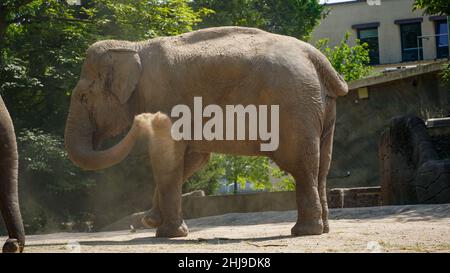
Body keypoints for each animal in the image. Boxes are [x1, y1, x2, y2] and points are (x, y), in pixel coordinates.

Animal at [65, 26, 348, 237]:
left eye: (83, 97)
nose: (144, 119)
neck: (134, 47)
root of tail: (315, 56)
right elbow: (192, 160)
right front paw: (152, 222)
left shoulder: (164, 99)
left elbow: (167, 155)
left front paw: (167, 233)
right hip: (321, 105)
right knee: (322, 166)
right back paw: (323, 229)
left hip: (293, 106)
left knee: (300, 165)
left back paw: (304, 232)